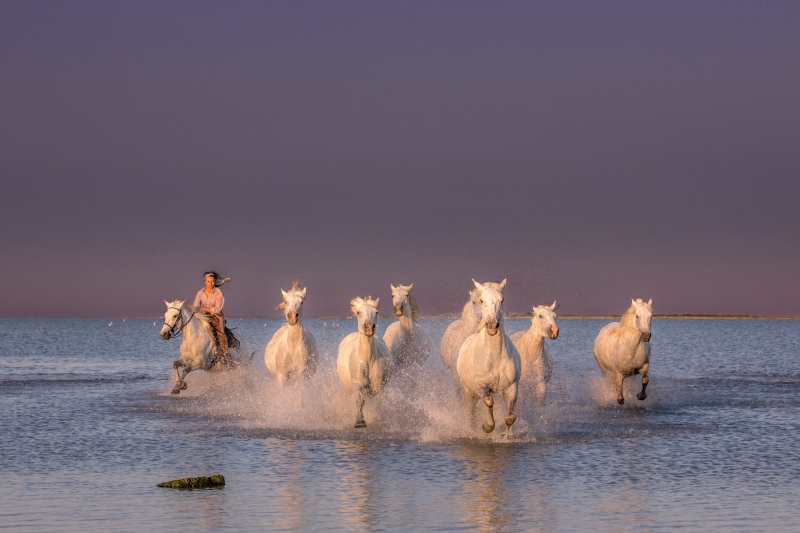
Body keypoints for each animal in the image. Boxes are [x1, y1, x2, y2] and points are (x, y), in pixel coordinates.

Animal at [334, 296, 394, 428]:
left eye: (376, 312)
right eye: (358, 312)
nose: (369, 327)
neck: (367, 359)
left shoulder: (378, 386)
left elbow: (378, 403)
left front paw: (378, 419)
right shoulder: (358, 383)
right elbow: (360, 400)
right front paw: (360, 421)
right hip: (346, 387)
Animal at [460, 280, 520, 434]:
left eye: (502, 300)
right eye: (482, 300)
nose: (492, 326)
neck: (494, 357)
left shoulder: (512, 387)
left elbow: (510, 417)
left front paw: (505, 434)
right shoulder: (481, 386)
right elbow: (488, 402)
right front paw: (487, 427)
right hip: (468, 392)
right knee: (471, 413)